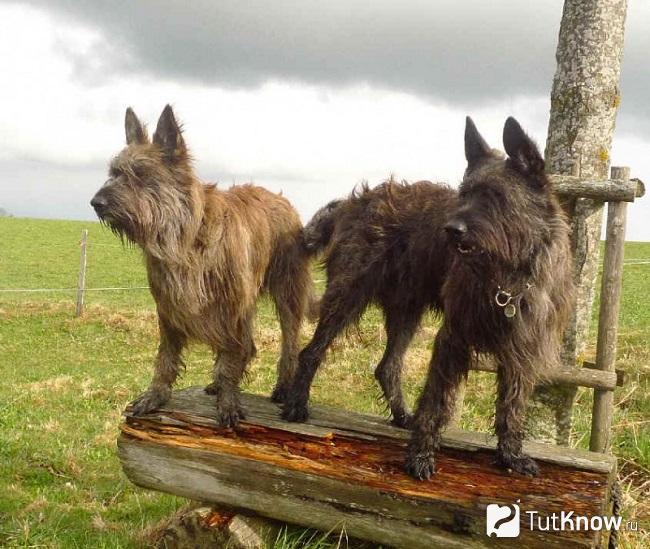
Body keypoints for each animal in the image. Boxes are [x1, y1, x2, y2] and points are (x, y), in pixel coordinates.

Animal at [92, 105, 312, 426]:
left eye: (141, 174)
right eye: (114, 172)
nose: (96, 202)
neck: (186, 237)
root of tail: (283, 200)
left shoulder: (232, 311)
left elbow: (230, 358)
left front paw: (228, 401)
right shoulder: (168, 310)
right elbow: (166, 359)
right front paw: (156, 395)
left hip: (288, 294)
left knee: (289, 343)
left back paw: (282, 387)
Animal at [284, 116, 572, 480]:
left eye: (496, 196)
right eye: (464, 194)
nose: (451, 229)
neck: (510, 278)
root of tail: (355, 202)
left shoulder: (523, 349)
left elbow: (512, 406)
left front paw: (511, 455)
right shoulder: (453, 339)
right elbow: (437, 402)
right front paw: (420, 456)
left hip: (406, 311)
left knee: (387, 367)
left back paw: (402, 415)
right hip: (347, 295)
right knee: (312, 352)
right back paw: (295, 403)